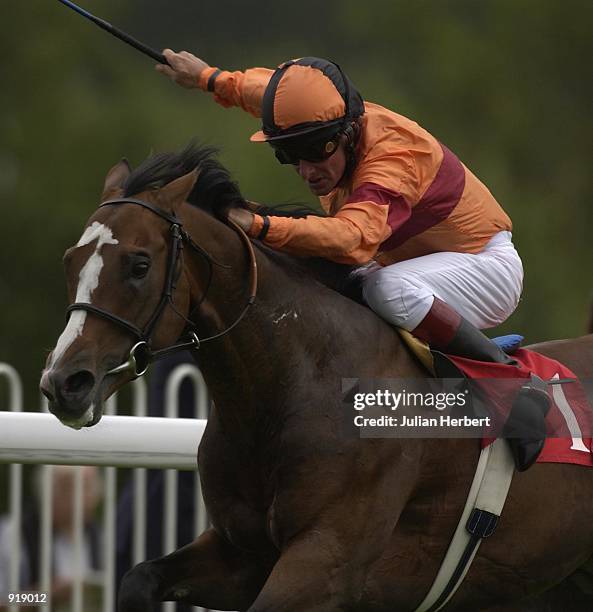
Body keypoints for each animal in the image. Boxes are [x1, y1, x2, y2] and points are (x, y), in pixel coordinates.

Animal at [39, 145, 592, 612]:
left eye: (138, 264)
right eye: (69, 261)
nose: (64, 383)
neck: (297, 381)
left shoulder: (326, 562)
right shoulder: (242, 553)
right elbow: (139, 579)